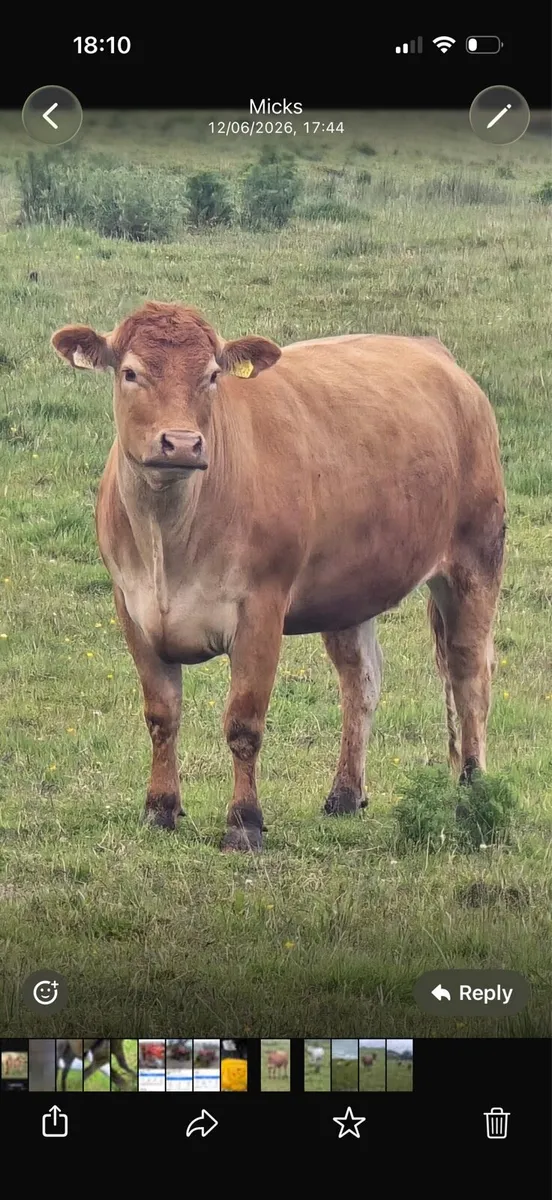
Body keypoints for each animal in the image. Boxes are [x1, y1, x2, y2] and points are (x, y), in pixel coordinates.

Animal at [51, 303, 505, 852]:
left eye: (212, 376)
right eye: (131, 372)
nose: (181, 443)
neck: (169, 540)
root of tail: (434, 351)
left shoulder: (261, 611)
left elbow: (244, 723)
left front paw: (244, 822)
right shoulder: (132, 609)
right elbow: (162, 716)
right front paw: (160, 809)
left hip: (476, 557)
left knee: (469, 672)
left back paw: (473, 788)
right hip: (351, 589)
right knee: (362, 679)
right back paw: (345, 795)